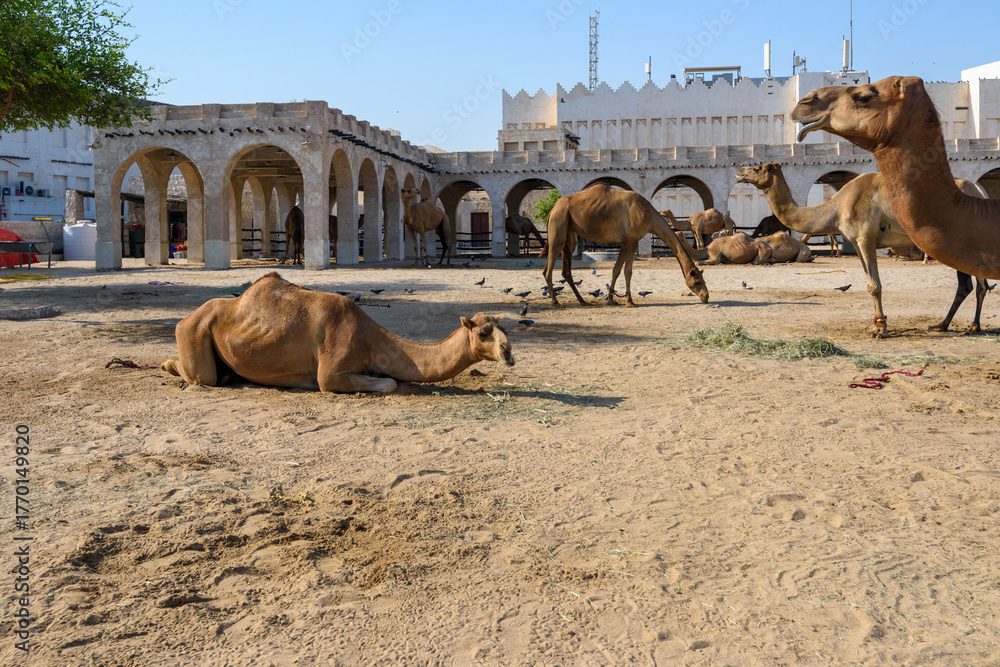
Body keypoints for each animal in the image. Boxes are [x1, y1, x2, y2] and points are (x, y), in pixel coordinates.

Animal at [161, 272, 514, 394]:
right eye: (483, 332)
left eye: (502, 327)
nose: (508, 352)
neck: (370, 339)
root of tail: (185, 318)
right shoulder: (330, 374)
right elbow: (389, 382)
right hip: (194, 331)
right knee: (203, 376)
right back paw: (168, 365)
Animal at [543, 184, 709, 307]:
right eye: (697, 281)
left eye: (703, 280)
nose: (706, 296)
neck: (649, 215)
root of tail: (552, 210)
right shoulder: (632, 239)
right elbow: (628, 271)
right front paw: (630, 302)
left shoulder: (624, 242)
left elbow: (616, 270)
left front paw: (611, 300)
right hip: (559, 221)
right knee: (549, 266)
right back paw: (556, 302)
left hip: (568, 228)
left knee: (566, 267)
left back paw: (582, 300)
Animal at [735, 163, 988, 336]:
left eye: (757, 167)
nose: (739, 172)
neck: (837, 206)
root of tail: (979, 192)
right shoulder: (856, 242)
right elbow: (869, 283)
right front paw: (874, 326)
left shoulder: (866, 237)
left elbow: (875, 286)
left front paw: (881, 330)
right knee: (971, 284)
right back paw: (950, 325)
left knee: (974, 283)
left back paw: (969, 326)